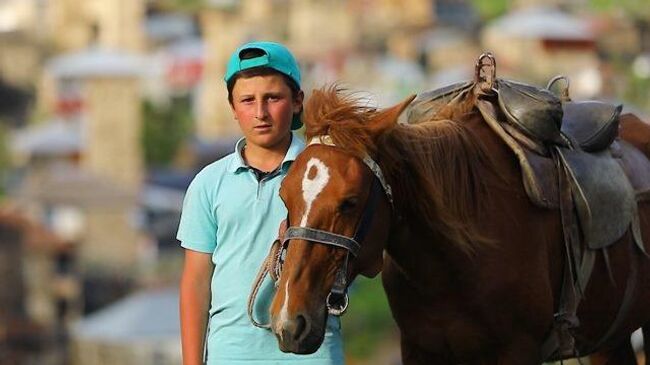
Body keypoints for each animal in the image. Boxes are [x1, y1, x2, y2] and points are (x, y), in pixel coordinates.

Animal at [264, 82, 650, 362]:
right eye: (285, 198)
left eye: (350, 202)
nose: (289, 321)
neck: (452, 264)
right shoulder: (421, 350)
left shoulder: (516, 351)